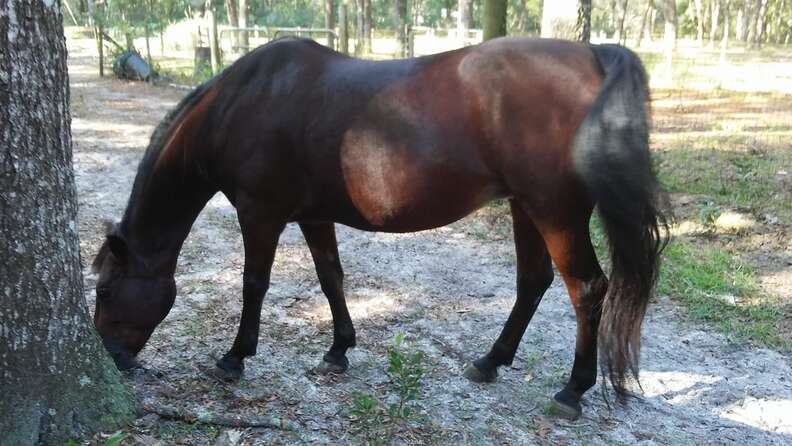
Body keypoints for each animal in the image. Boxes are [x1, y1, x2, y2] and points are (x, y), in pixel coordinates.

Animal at [89, 35, 664, 418]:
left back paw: (572, 391)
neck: (245, 101)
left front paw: (234, 358)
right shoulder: (313, 215)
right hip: (526, 206)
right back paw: (489, 362)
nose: (111, 359)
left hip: (555, 211)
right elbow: (331, 278)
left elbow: (254, 284)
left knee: (587, 289)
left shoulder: (260, 215)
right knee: (534, 282)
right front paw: (338, 350)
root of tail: (592, 54)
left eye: (105, 290)